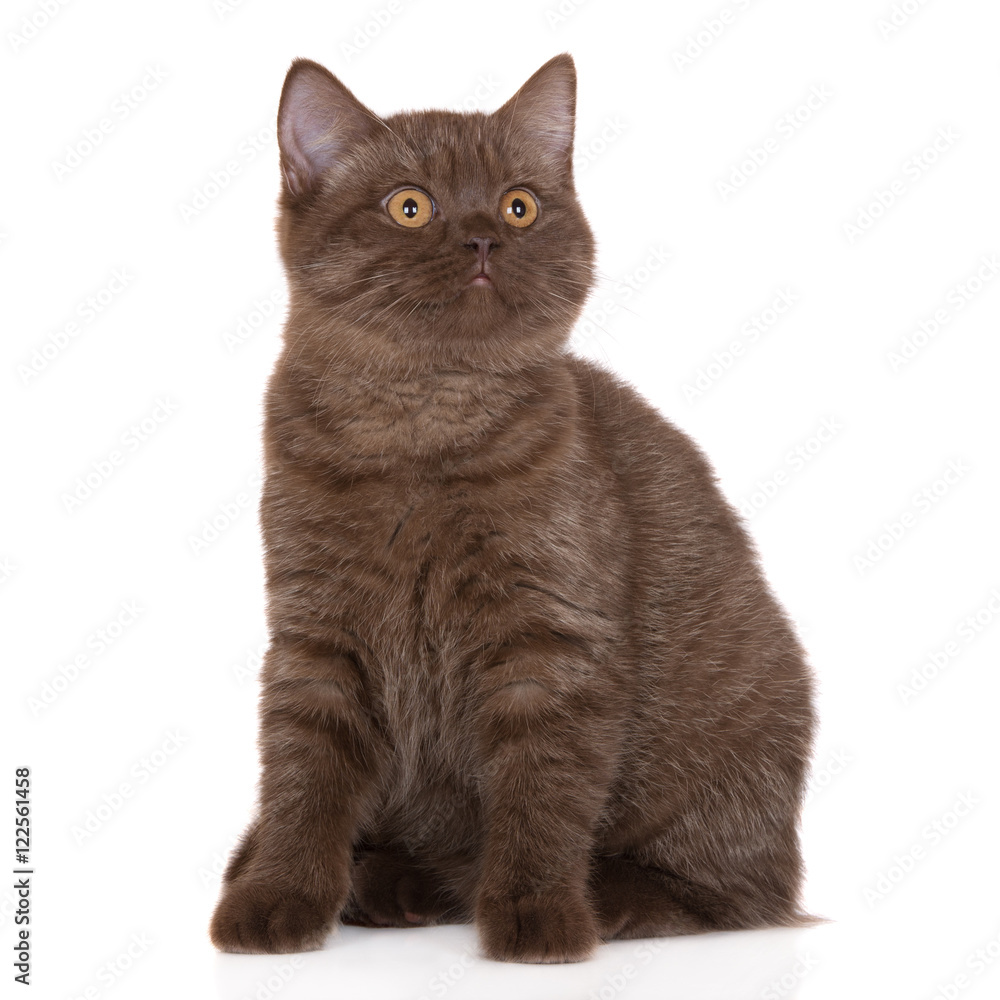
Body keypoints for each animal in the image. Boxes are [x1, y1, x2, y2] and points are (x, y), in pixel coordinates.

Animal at [207, 52, 816, 960]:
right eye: (410, 205)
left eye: (519, 205)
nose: (483, 237)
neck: (425, 419)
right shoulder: (318, 635)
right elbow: (300, 774)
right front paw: (277, 894)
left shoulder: (550, 638)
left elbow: (543, 786)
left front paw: (538, 916)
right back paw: (386, 884)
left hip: (736, 731)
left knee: (736, 891)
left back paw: (608, 898)